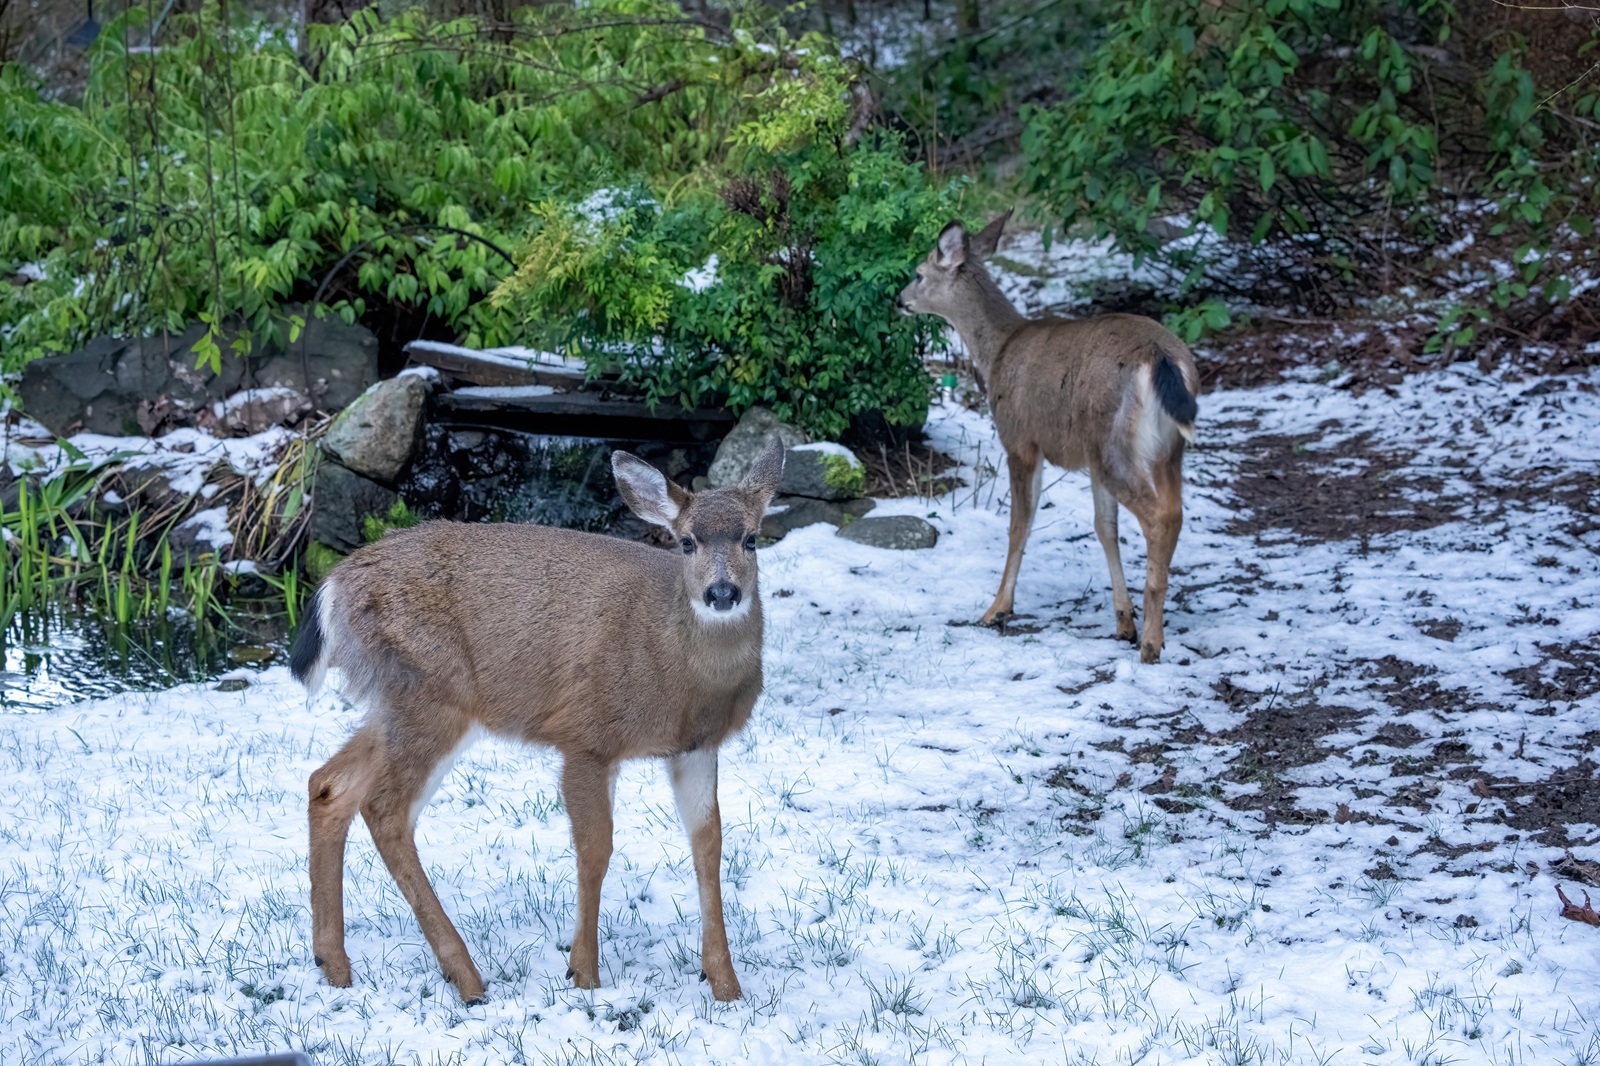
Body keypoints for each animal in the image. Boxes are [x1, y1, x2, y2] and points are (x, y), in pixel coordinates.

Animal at [289, 436, 786, 1005]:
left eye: (751, 539)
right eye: (686, 543)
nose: (721, 593)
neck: (677, 670)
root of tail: (333, 586)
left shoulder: (697, 748)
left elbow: (709, 845)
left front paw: (726, 984)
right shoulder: (587, 733)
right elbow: (595, 848)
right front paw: (584, 973)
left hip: (400, 702)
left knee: (329, 784)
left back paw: (334, 965)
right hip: (430, 694)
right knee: (385, 808)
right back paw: (466, 977)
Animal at [897, 213, 1200, 663]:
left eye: (919, 273)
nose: (899, 299)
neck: (997, 350)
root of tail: (1161, 358)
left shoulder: (1020, 438)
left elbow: (1019, 524)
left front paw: (997, 609)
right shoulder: (1088, 456)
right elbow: (1104, 527)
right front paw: (1122, 621)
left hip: (1115, 443)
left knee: (1159, 516)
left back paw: (1151, 642)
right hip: (1161, 448)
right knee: (1174, 511)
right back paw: (1148, 627)